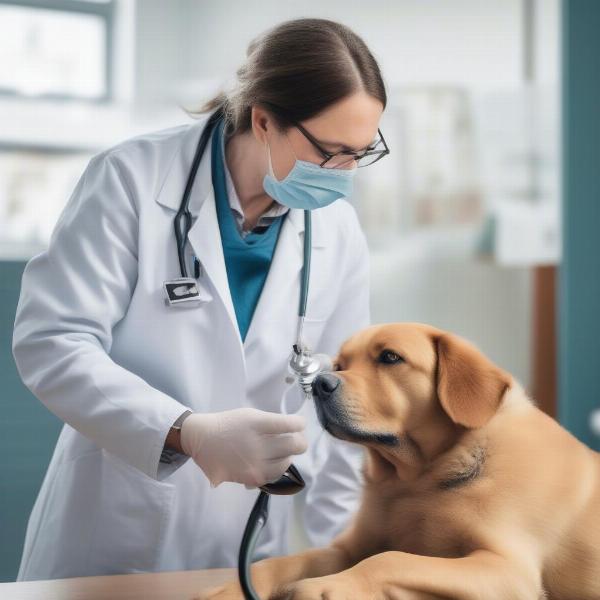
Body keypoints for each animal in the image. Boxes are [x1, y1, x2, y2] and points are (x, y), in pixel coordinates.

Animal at [198, 324, 600, 600]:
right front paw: (232, 588)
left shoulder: (508, 569)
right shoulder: (348, 548)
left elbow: (391, 558)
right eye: (340, 364)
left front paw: (327, 586)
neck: (417, 481)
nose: (321, 384)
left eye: (390, 357)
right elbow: (282, 562)